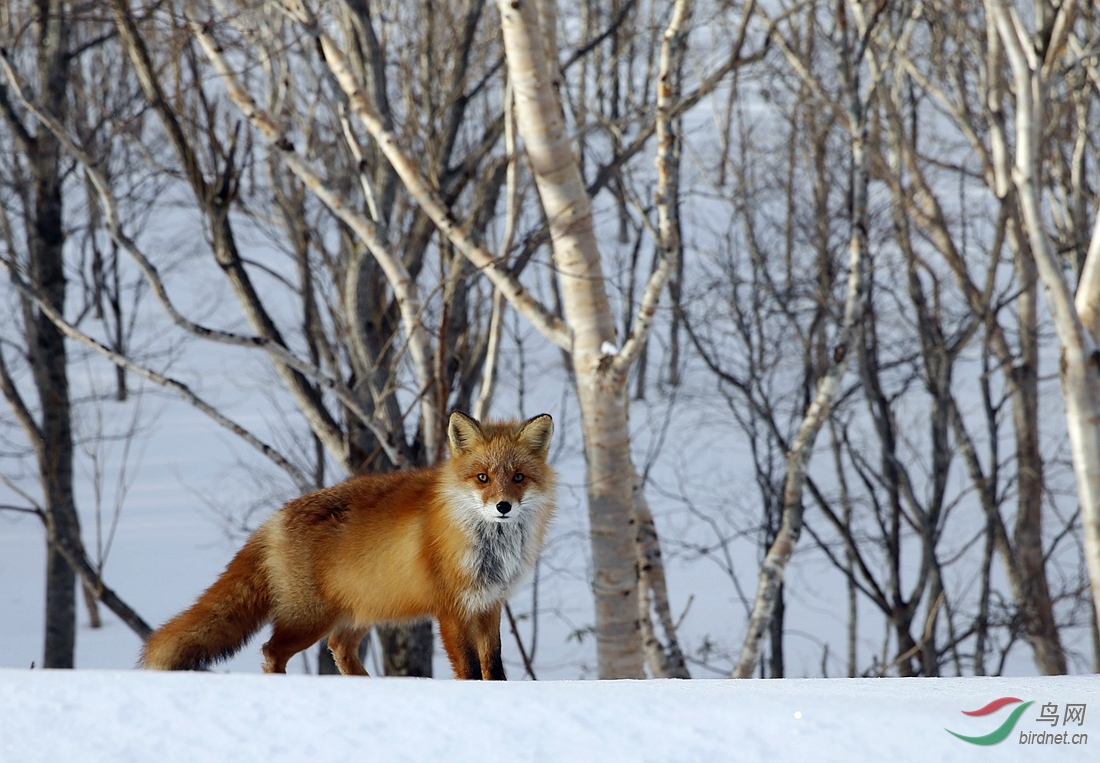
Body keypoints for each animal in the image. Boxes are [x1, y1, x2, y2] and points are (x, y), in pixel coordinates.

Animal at [141, 413, 554, 681]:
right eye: (482, 478)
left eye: (518, 477)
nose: (503, 506)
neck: (489, 548)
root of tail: (274, 518)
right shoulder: (451, 609)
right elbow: (468, 668)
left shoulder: (489, 604)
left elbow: (493, 665)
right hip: (309, 618)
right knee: (273, 651)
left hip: (361, 611)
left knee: (338, 648)